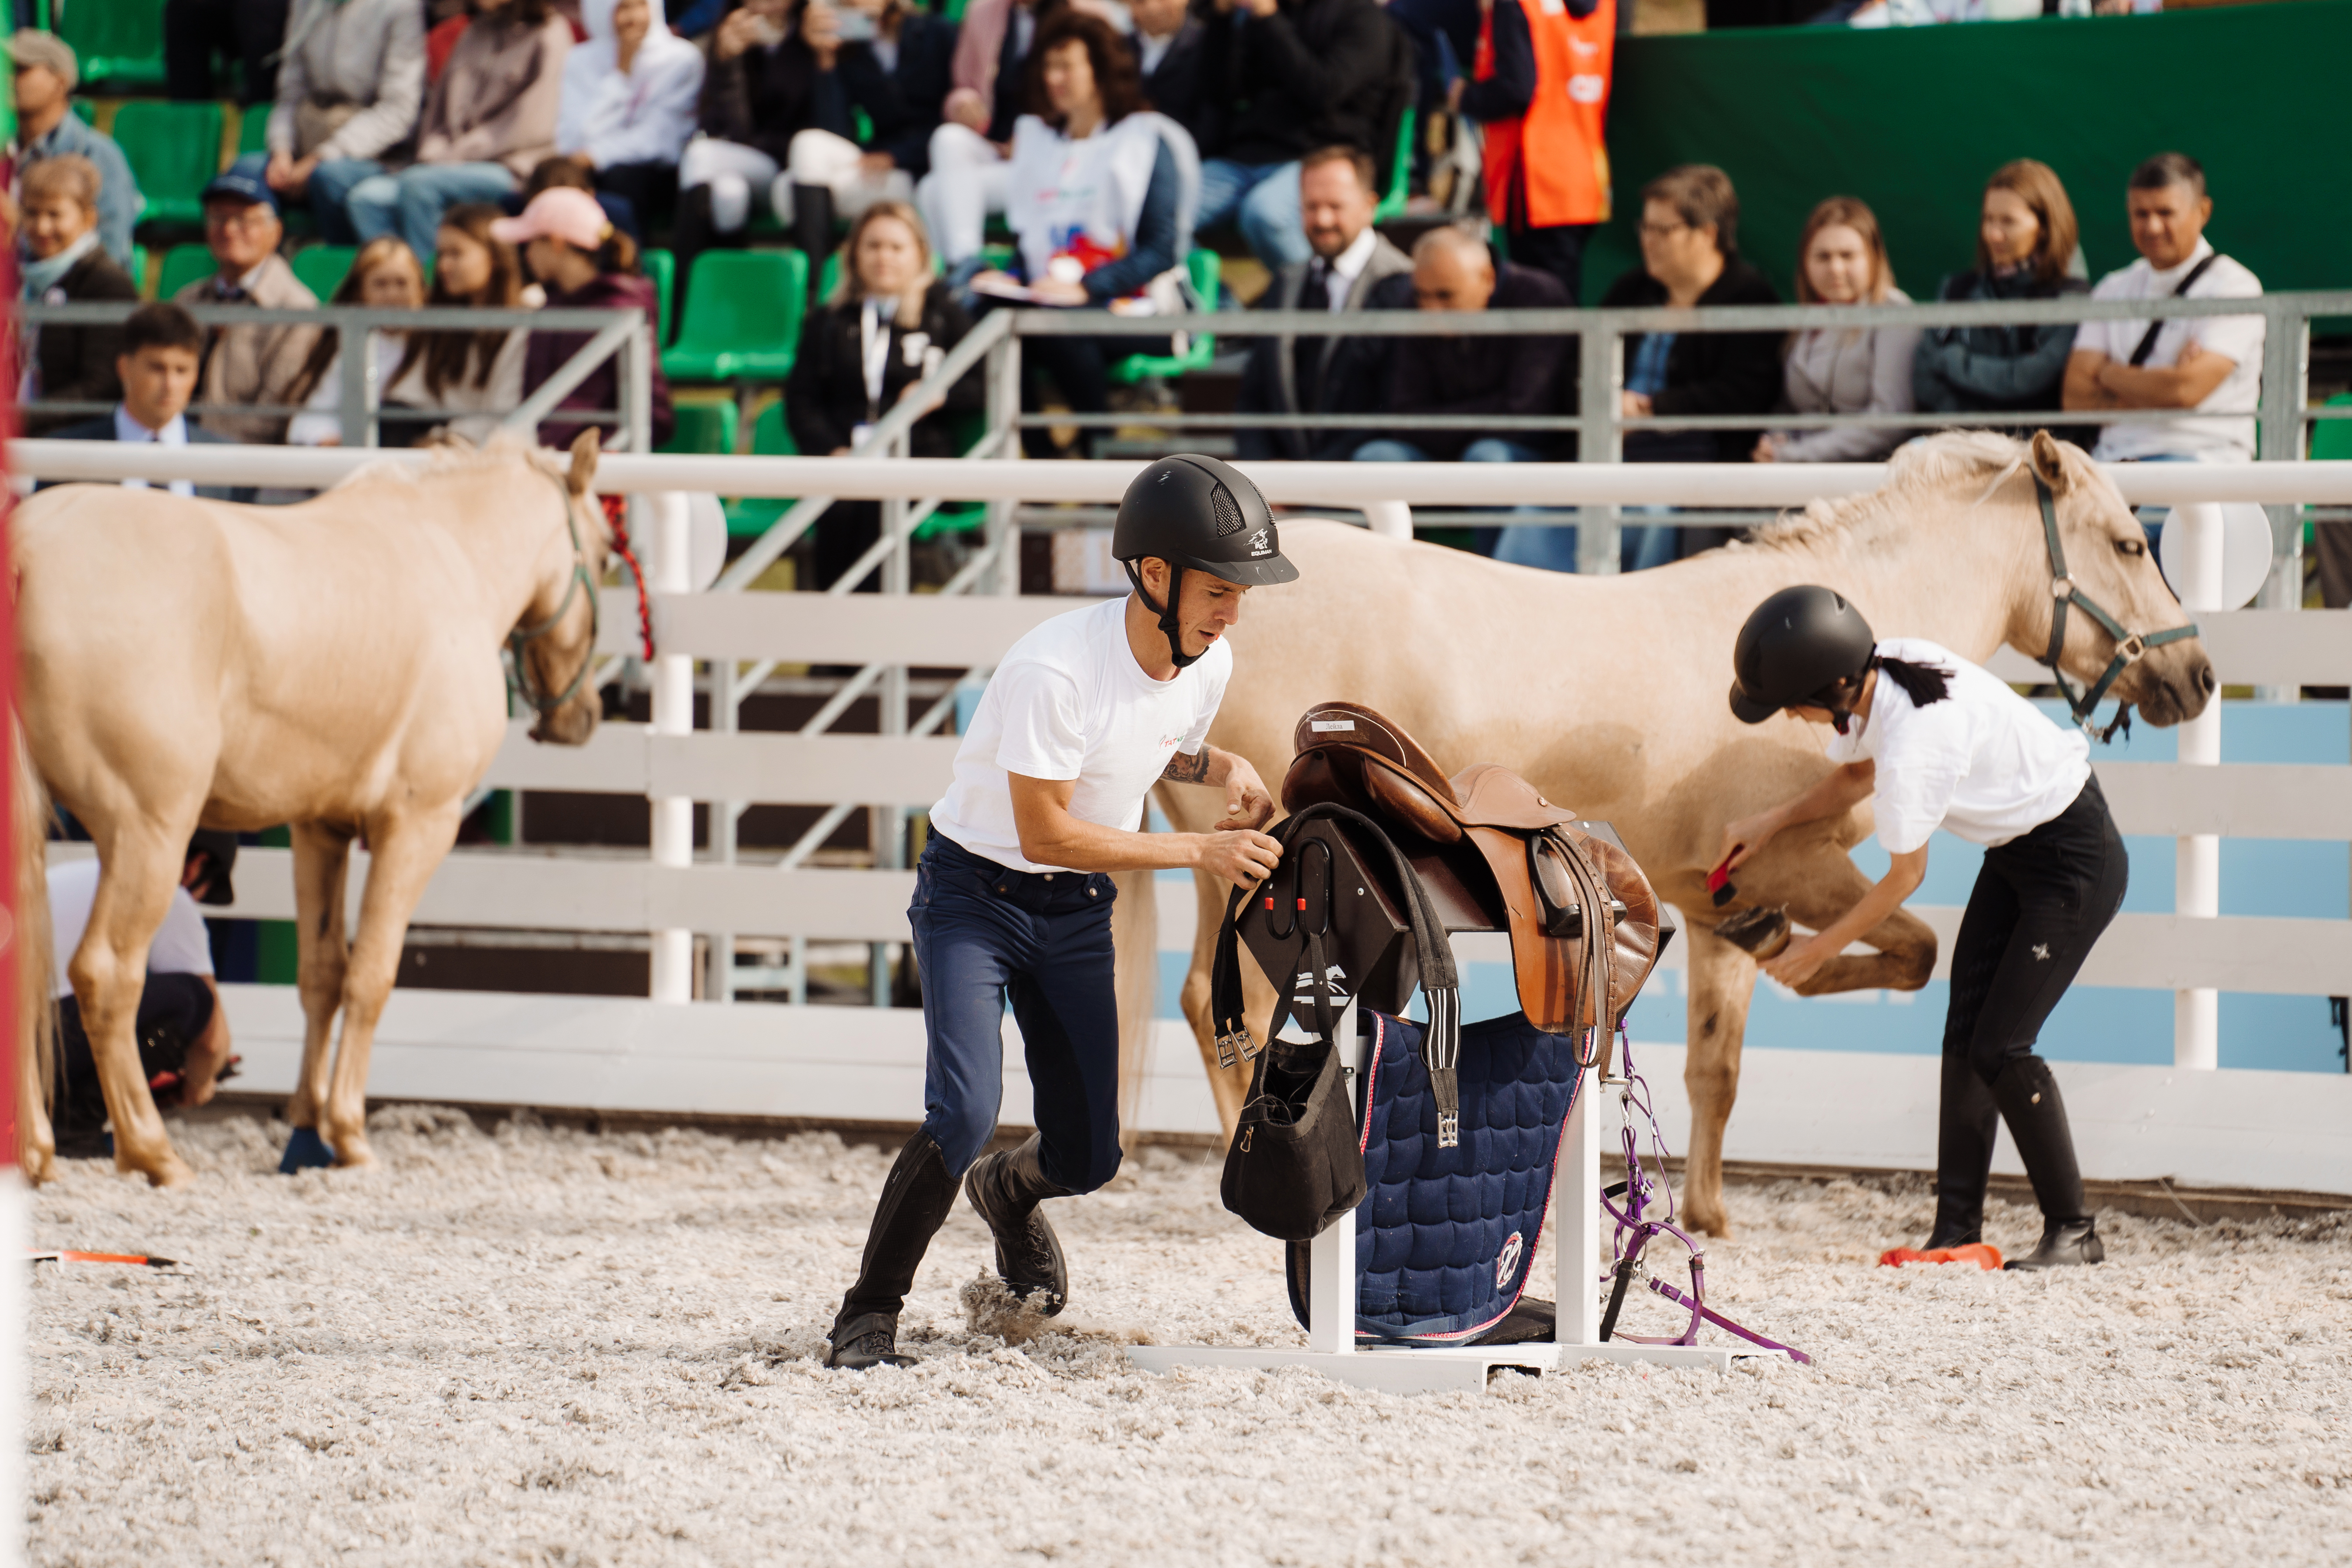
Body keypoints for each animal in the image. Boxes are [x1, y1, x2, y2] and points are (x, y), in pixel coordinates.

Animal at [9, 432, 611, 1189]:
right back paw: (152, 1149)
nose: (583, 716)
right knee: (108, 973)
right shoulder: (418, 826)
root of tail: (29, 547)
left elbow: (322, 974)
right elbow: (372, 975)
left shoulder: (317, 828)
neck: (450, 553)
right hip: (147, 830)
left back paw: (35, 1149)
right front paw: (349, 1133)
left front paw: (306, 1130)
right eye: (607, 554)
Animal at [1148, 432, 2211, 1241]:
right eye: (2127, 542)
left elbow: (1717, 1066)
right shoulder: (1788, 865)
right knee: (1231, 1004)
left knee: (1208, 1001)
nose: (2195, 676)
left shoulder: (1708, 898)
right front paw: (1794, 959)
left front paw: (1703, 1215)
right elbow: (1908, 950)